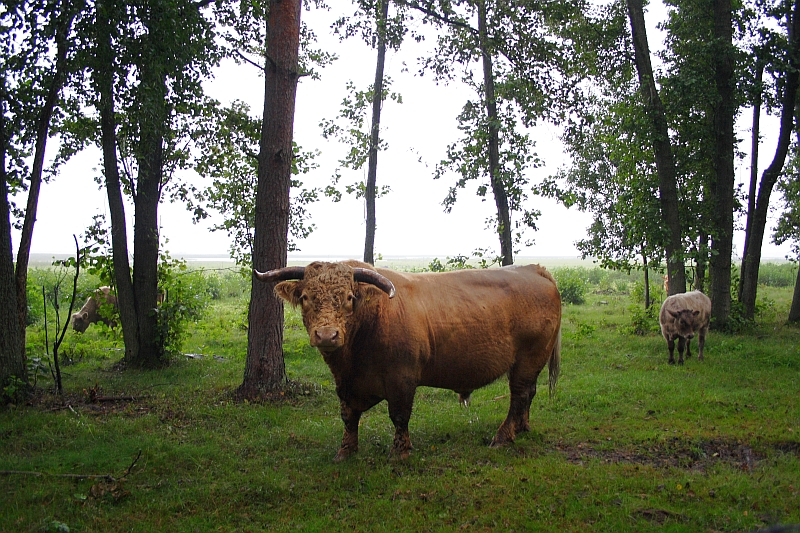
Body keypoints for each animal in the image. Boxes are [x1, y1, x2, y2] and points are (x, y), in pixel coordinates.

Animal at [255, 260, 562, 461]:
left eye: (350, 297)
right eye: (306, 297)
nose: (327, 335)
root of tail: (535, 269)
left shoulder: (401, 377)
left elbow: (399, 415)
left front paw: (400, 451)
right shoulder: (345, 383)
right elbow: (348, 415)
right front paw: (346, 450)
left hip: (529, 358)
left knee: (519, 395)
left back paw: (503, 436)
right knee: (528, 393)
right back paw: (522, 427)